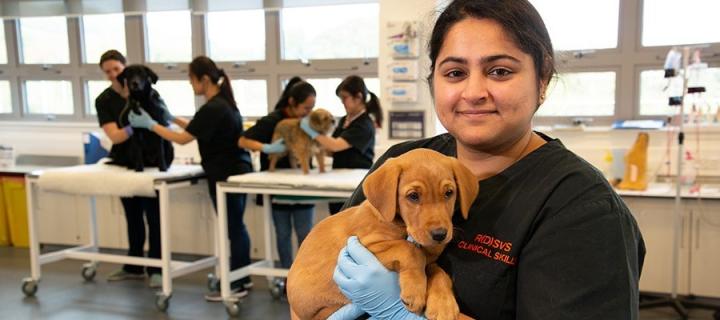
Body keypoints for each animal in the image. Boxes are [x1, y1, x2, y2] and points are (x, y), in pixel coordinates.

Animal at [286, 149, 478, 320]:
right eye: (413, 196)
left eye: (449, 193)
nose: (440, 235)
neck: (402, 226)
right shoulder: (364, 246)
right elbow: (411, 250)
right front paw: (415, 291)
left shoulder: (429, 261)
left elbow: (438, 272)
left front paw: (443, 305)